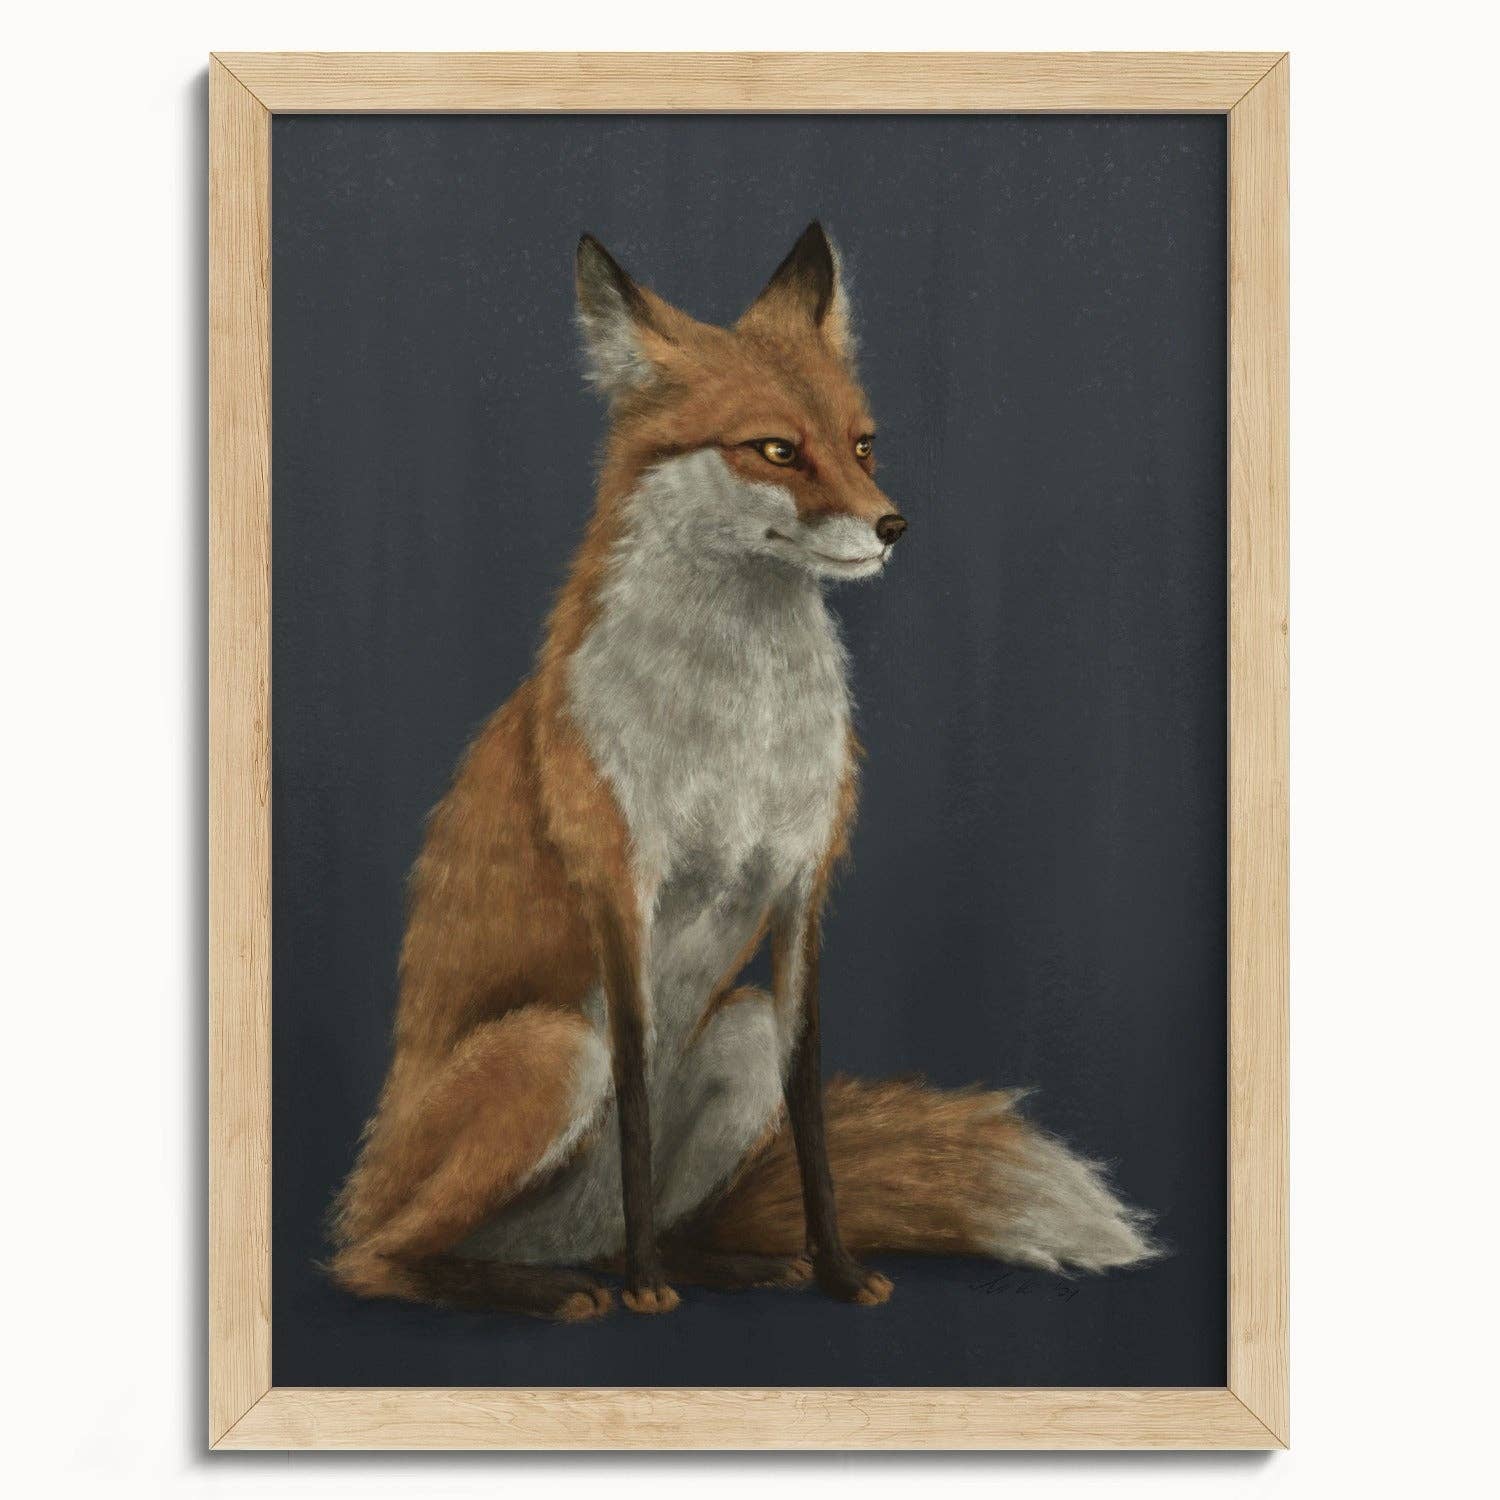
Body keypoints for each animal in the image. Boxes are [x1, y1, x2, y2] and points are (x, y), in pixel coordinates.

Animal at [327, 222, 1158, 1322]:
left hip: (738, 1032)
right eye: (775, 449)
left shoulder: (803, 887)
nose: (894, 526)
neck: (740, 730)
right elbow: (637, 1098)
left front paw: (837, 1270)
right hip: (551, 1051)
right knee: (376, 1259)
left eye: (862, 444)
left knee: (647, 1216)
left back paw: (721, 1263)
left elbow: (810, 1113)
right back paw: (559, 1287)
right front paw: (646, 1292)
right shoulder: (621, 889)